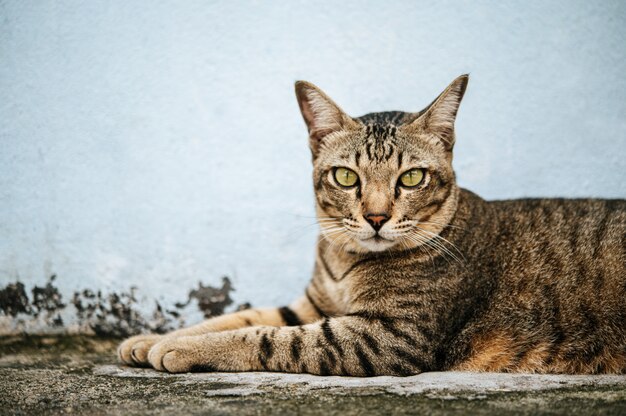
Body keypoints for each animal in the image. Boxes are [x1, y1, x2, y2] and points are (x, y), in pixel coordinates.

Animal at [118, 75, 624, 376]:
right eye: (346, 177)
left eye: (412, 178)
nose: (377, 217)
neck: (346, 260)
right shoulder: (312, 305)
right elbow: (240, 316)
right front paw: (153, 338)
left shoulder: (389, 335)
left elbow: (268, 338)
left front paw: (182, 349)